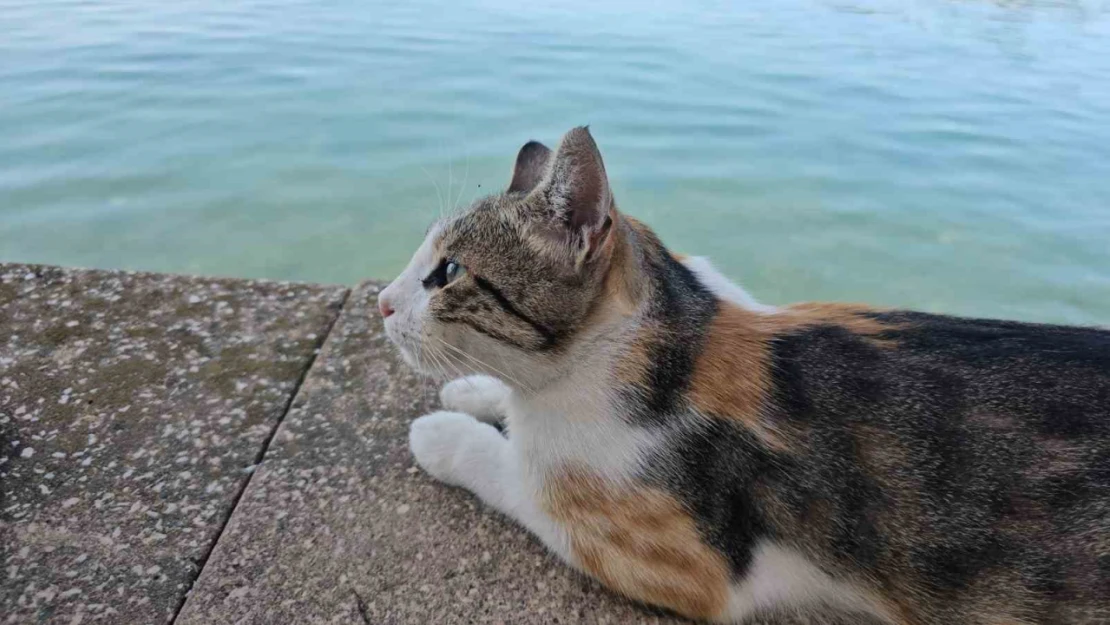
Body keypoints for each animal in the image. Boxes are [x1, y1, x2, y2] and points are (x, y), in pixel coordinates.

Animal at [375, 128, 1110, 625]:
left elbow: (516, 475)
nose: (381, 301)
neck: (680, 328)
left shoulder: (664, 554)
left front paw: (444, 431)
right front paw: (476, 391)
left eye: (448, 272)